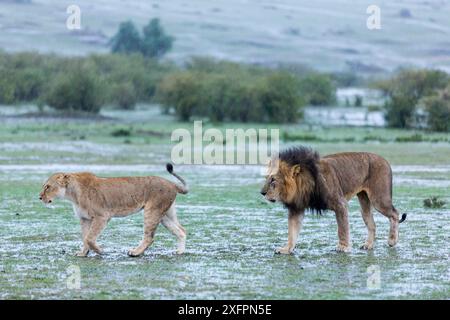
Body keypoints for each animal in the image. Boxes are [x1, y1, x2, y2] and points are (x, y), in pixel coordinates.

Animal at [39, 165, 189, 258]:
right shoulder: (85, 219)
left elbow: (89, 238)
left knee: (149, 237)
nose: (39, 197)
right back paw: (180, 252)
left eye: (48, 187)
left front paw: (100, 251)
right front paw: (83, 253)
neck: (72, 195)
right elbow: (85, 237)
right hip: (165, 214)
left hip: (152, 211)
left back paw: (135, 252)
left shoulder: (102, 216)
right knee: (181, 230)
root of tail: (172, 184)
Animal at [258, 146, 406, 254]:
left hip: (379, 199)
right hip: (364, 201)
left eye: (273, 180)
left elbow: (342, 228)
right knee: (372, 223)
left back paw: (392, 240)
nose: (262, 192)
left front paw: (343, 247)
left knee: (395, 214)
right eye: (266, 178)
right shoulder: (296, 208)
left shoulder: (340, 203)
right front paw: (286, 249)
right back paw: (368, 245)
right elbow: (292, 231)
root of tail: (385, 160)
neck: (303, 184)